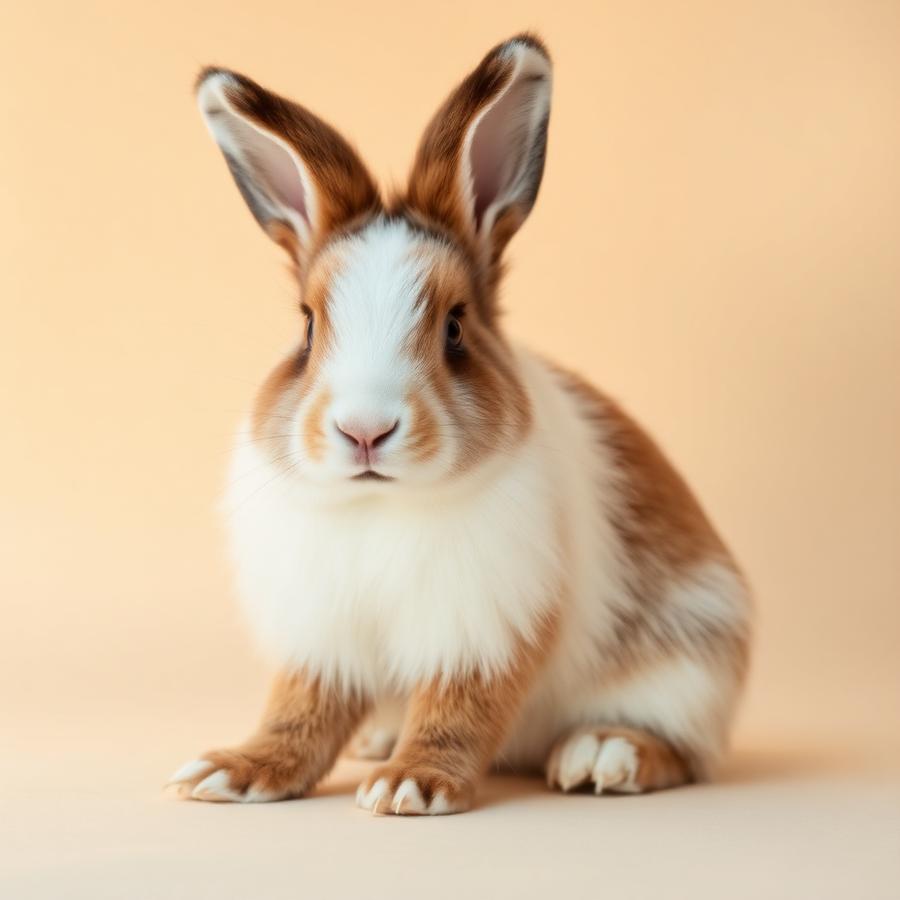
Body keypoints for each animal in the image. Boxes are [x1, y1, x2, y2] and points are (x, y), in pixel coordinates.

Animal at [168, 33, 751, 815]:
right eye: (308, 327)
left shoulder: (487, 627)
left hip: (690, 667)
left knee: (683, 752)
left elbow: (459, 708)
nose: (364, 431)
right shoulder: (324, 638)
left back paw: (604, 753)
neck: (381, 503)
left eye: (454, 328)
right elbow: (299, 710)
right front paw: (233, 771)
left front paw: (411, 784)